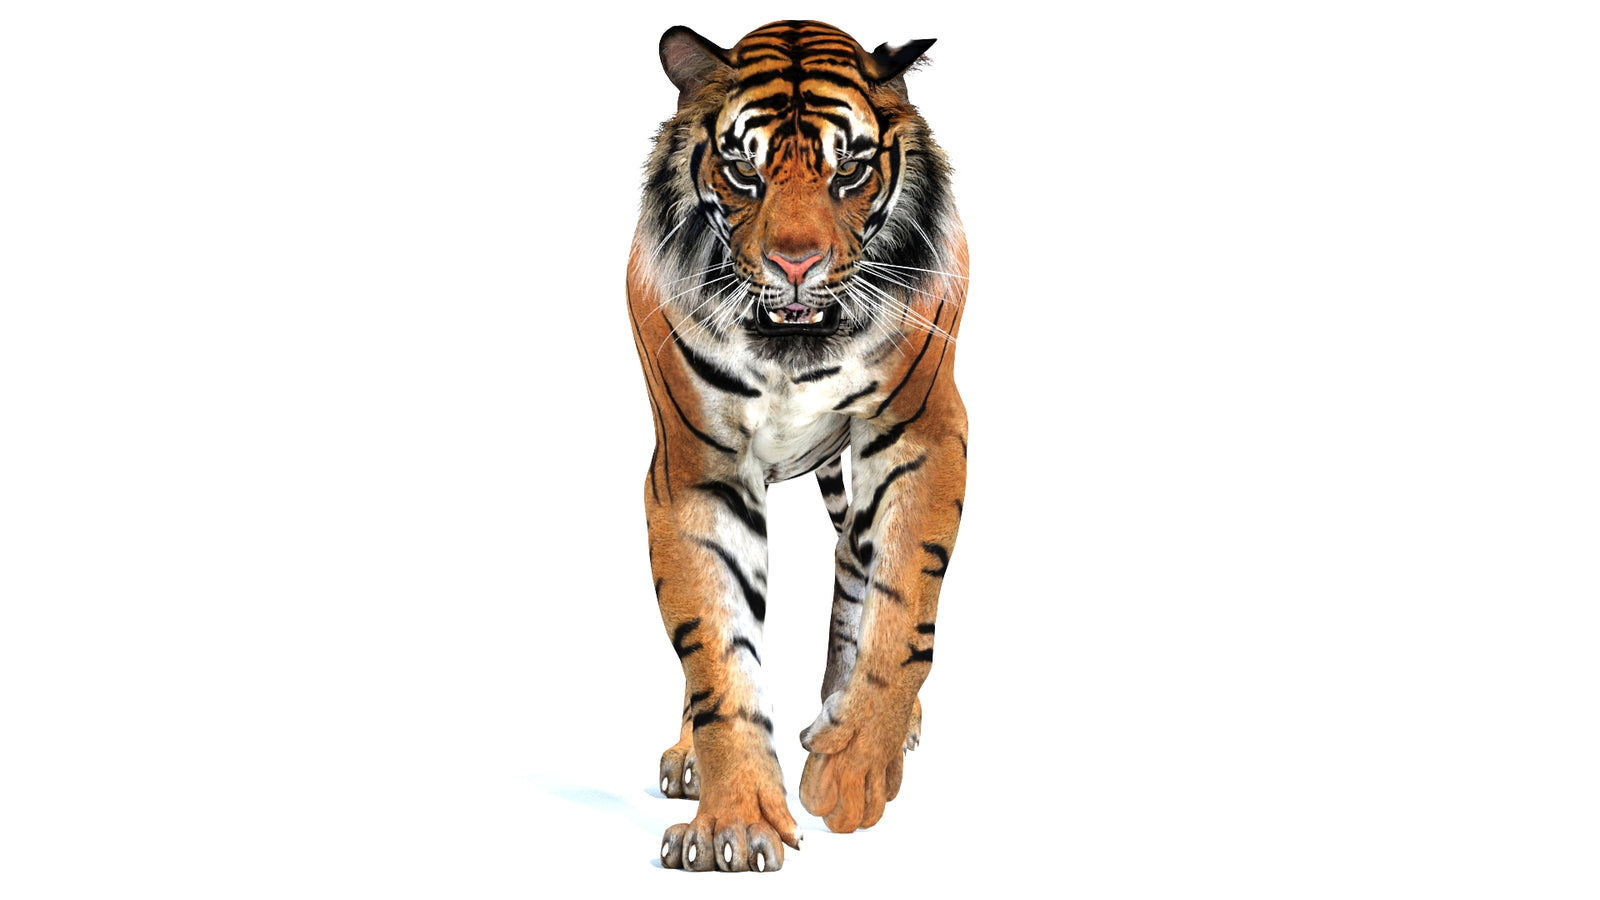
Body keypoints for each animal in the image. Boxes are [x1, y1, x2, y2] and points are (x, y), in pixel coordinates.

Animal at [627, 20, 968, 872]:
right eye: (744, 171)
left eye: (848, 170)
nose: (794, 263)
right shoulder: (696, 469)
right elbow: (715, 654)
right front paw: (735, 824)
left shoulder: (923, 431)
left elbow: (902, 614)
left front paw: (850, 773)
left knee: (856, 564)